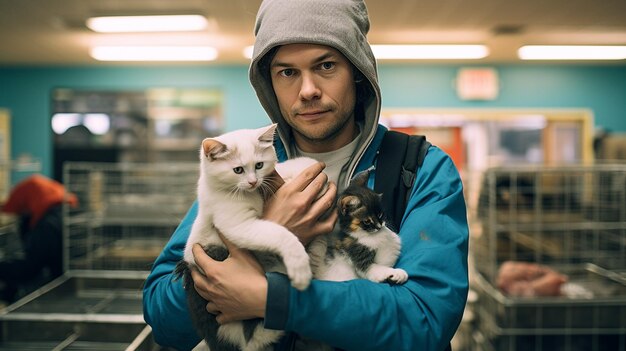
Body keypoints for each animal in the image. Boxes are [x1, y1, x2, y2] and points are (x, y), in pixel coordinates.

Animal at [173, 125, 314, 351]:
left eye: (259, 165)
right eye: (237, 170)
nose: (252, 181)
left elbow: (278, 171)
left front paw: (304, 163)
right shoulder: (236, 224)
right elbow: (280, 234)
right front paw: (299, 266)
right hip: (211, 254)